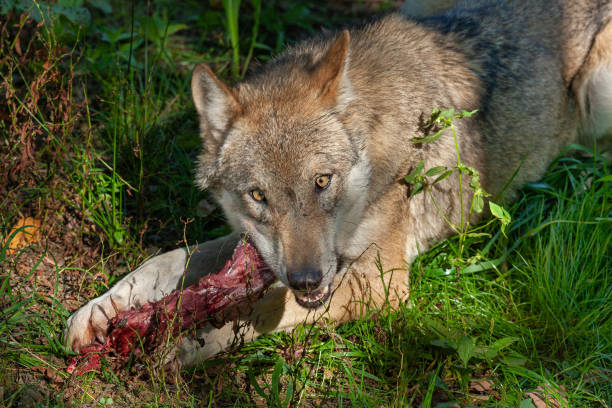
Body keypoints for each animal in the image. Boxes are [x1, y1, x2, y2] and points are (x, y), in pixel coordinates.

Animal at [64, 0, 608, 366]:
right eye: (258, 195)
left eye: (322, 181)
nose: (306, 279)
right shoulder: (254, 247)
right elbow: (166, 260)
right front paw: (102, 310)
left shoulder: (384, 285)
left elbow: (264, 307)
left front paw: (185, 340)